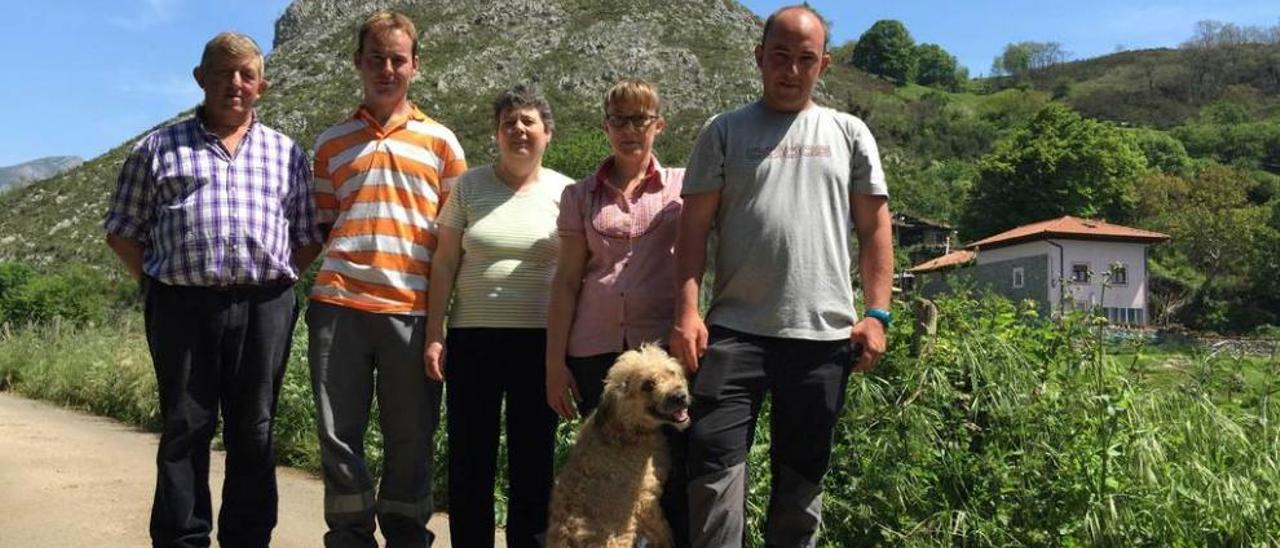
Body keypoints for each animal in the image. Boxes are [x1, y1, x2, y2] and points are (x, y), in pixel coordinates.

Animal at [547, 345, 691, 548]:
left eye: (671, 372)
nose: (680, 396)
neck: (628, 428)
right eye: (648, 384)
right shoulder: (645, 501)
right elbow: (663, 532)